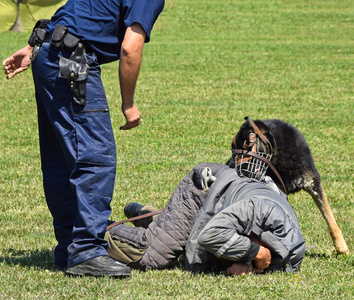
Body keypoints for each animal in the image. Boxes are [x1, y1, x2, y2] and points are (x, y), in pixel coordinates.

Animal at [227, 118, 348, 254]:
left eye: (246, 144)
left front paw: (341, 248)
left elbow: (330, 219)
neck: (278, 153)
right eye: (233, 149)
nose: (231, 166)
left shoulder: (314, 185)